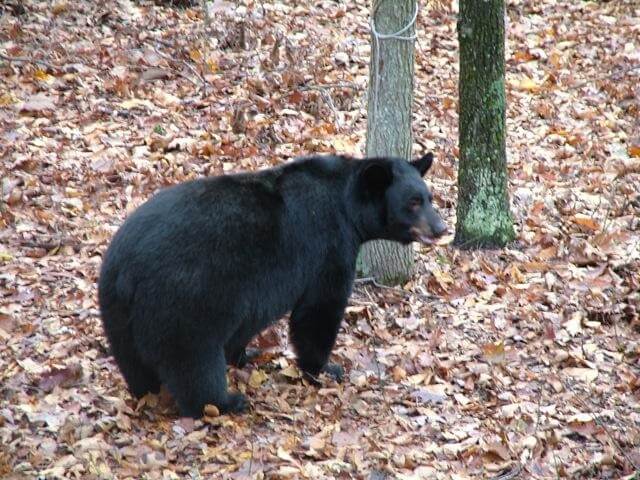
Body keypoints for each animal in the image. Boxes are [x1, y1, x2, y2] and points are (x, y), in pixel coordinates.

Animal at [100, 154, 448, 416]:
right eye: (413, 201)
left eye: (429, 198)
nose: (441, 227)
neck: (347, 207)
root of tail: (127, 270)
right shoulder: (328, 248)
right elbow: (319, 310)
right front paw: (324, 368)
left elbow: (246, 323)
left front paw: (245, 353)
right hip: (185, 298)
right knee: (191, 359)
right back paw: (224, 402)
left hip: (116, 309)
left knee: (132, 359)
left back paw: (146, 390)